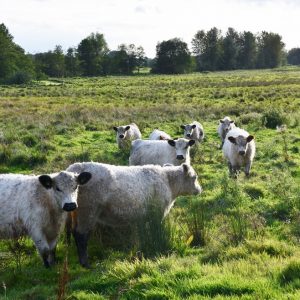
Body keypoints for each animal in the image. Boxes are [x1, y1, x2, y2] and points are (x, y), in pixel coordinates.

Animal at [65, 162, 202, 268]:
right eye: (194, 177)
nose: (199, 190)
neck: (168, 182)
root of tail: (75, 168)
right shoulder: (157, 213)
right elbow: (155, 231)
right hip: (88, 210)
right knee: (81, 235)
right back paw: (85, 263)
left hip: (78, 213)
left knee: (75, 232)